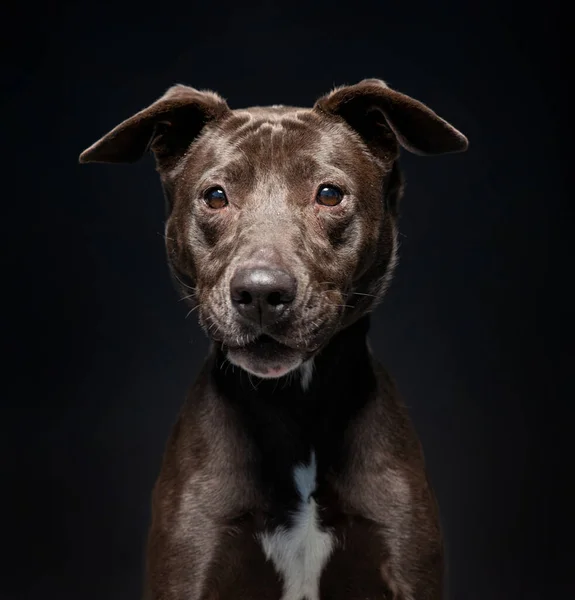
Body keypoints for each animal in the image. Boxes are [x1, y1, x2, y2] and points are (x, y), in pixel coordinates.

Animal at [80, 79, 468, 600]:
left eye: (329, 194)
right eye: (215, 196)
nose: (261, 292)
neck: (294, 407)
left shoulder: (407, 562)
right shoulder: (190, 561)